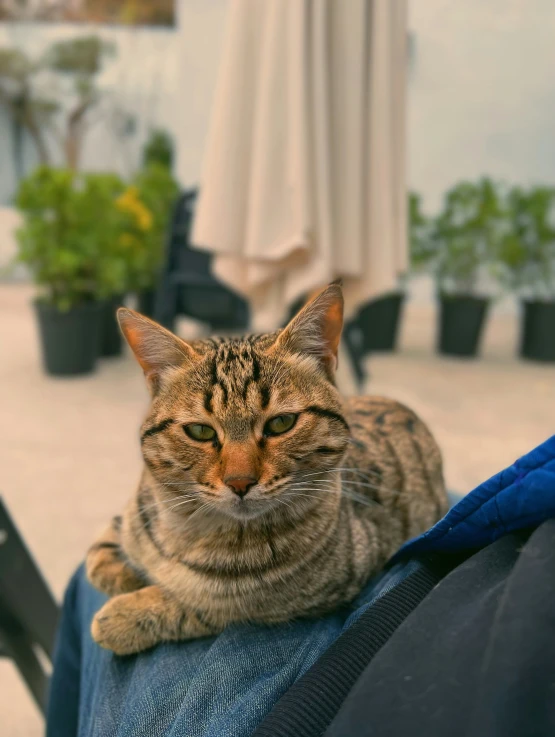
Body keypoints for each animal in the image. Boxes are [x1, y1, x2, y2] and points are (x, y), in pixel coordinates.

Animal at [89, 284, 450, 652]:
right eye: (200, 431)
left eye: (281, 423)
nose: (240, 482)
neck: (186, 527)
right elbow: (99, 555)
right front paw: (127, 573)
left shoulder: (305, 595)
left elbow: (202, 605)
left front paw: (123, 614)